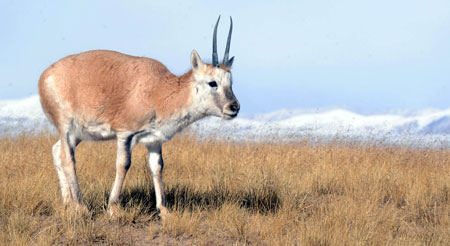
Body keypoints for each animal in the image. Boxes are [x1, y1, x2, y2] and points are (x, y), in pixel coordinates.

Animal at [37, 16, 239, 215]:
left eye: (230, 82)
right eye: (212, 82)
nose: (234, 106)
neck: (159, 90)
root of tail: (45, 75)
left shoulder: (154, 140)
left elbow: (157, 166)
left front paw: (163, 210)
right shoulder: (125, 134)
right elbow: (123, 164)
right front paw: (113, 207)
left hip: (77, 135)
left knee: (56, 151)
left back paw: (68, 203)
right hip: (67, 128)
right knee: (67, 159)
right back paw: (81, 206)